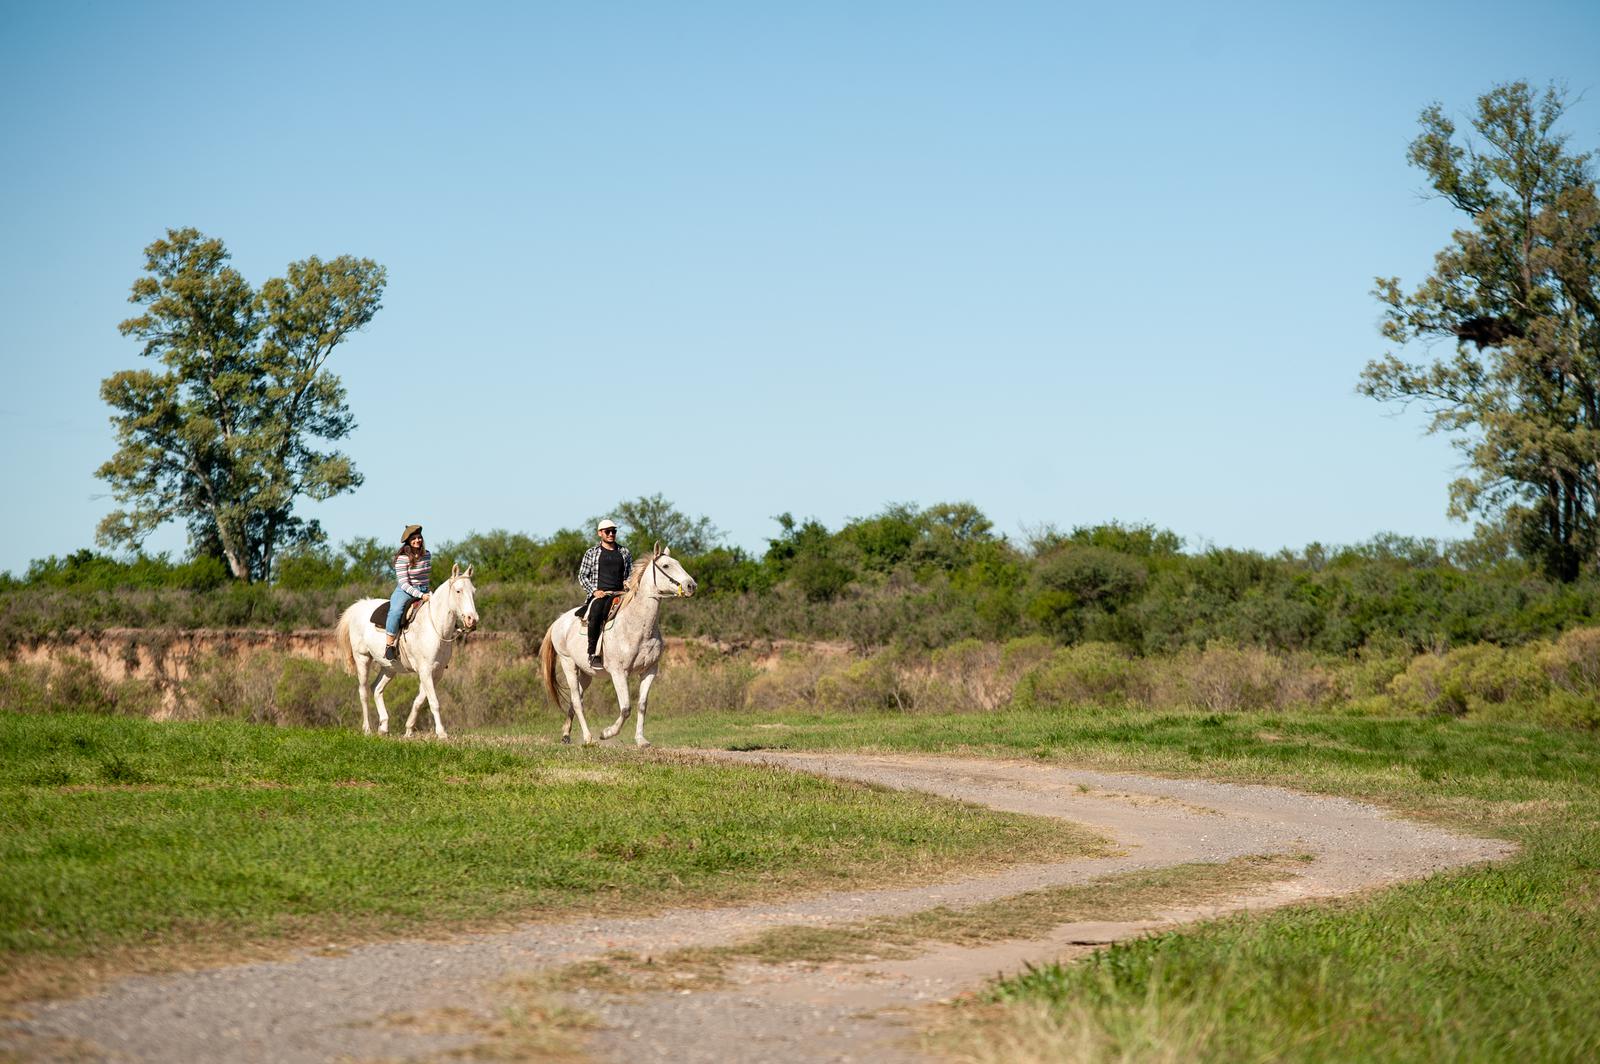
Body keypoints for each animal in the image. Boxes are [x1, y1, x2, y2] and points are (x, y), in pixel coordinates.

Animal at [337, 563, 480, 739]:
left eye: (473, 591)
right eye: (458, 591)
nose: (472, 620)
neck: (434, 627)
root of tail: (359, 606)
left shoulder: (436, 672)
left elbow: (420, 700)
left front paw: (409, 729)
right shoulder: (425, 671)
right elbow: (434, 702)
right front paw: (441, 733)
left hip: (389, 667)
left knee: (376, 688)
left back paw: (383, 727)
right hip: (362, 659)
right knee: (363, 692)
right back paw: (367, 729)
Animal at [540, 547, 697, 745]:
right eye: (666, 565)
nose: (691, 585)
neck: (637, 626)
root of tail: (559, 621)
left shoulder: (650, 670)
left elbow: (642, 705)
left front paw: (641, 740)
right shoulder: (618, 672)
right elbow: (626, 708)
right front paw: (607, 733)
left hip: (586, 673)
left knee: (577, 700)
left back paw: (566, 735)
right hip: (568, 664)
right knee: (576, 700)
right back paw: (589, 738)